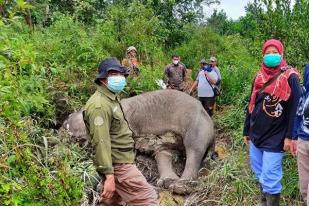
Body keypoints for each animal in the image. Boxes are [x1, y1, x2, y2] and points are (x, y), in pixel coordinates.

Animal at [61, 89, 213, 194]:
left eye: (78, 114)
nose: (64, 122)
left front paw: (102, 187)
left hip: (196, 126)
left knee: (194, 149)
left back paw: (180, 186)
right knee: (163, 151)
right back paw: (167, 181)